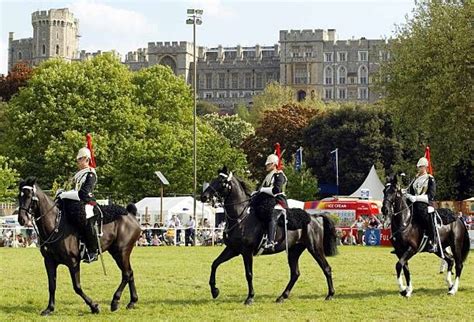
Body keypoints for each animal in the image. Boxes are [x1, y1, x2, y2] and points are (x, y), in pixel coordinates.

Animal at [17, 176, 143, 314]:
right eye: (19, 196)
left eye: (29, 196)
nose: (21, 219)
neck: (56, 226)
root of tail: (130, 215)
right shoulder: (49, 261)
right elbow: (52, 286)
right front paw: (49, 308)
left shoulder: (73, 262)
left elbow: (77, 287)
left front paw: (94, 306)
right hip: (118, 252)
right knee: (130, 273)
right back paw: (132, 302)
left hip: (121, 252)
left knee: (126, 274)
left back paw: (115, 301)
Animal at [200, 167, 336, 306]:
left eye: (221, 181)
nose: (203, 196)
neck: (240, 217)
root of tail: (314, 217)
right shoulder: (233, 249)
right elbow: (215, 264)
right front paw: (214, 291)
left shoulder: (246, 252)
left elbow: (249, 274)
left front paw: (250, 297)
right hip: (293, 251)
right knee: (295, 273)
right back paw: (282, 296)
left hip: (315, 249)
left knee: (326, 268)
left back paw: (330, 294)